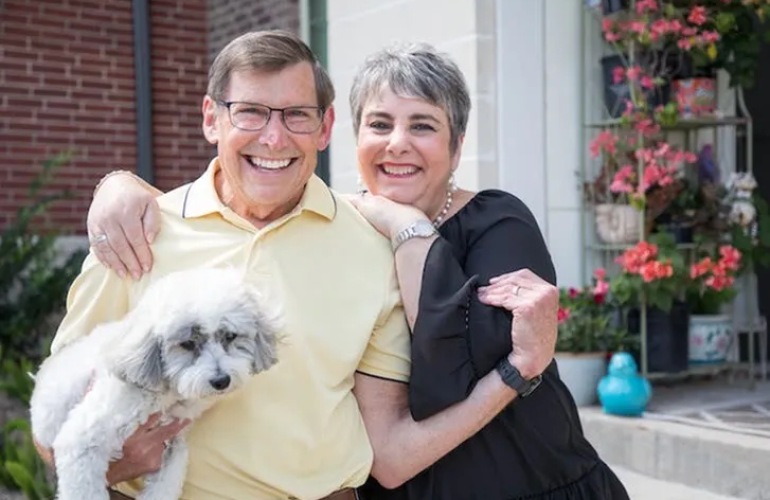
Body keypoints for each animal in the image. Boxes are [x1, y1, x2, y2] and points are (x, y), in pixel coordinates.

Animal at [31, 270, 282, 500]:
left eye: (230, 336)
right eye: (187, 344)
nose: (221, 381)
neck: (166, 394)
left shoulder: (172, 447)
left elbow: (165, 485)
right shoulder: (80, 442)